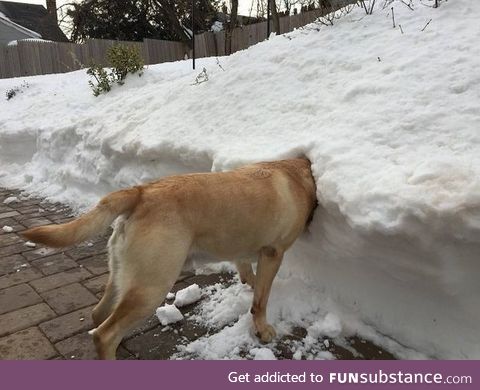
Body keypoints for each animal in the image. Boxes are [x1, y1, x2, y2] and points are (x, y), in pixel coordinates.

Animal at [22, 158, 316, 360]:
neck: (297, 174)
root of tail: (140, 192)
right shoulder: (273, 253)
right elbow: (260, 300)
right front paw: (262, 329)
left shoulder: (243, 251)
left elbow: (247, 273)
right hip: (152, 286)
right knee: (105, 335)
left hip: (122, 275)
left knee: (99, 316)